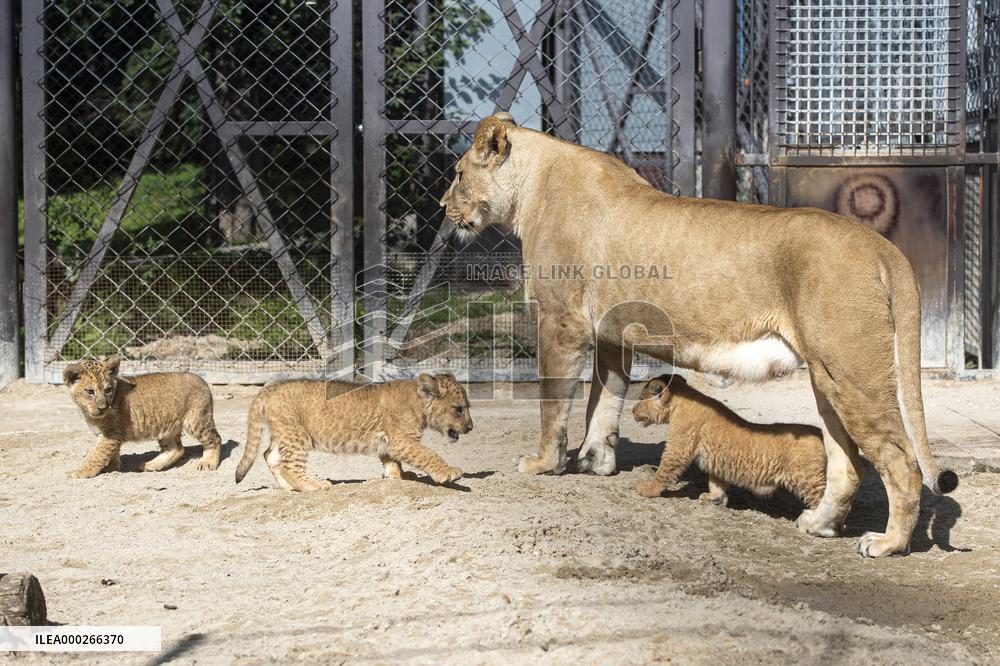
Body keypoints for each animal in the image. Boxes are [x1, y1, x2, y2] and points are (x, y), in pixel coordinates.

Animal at [63, 356, 222, 477]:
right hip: (167, 427)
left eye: (108, 390)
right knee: (176, 449)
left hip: (196, 421)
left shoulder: (110, 434)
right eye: (90, 391)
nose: (103, 408)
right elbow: (112, 453)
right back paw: (150, 465)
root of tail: (202, 379)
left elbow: (96, 455)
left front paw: (81, 472)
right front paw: (113, 467)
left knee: (215, 439)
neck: (88, 413)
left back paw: (207, 463)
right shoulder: (111, 436)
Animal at [234, 373, 473, 491]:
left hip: (283, 433)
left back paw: (287, 487)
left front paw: (397, 476)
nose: (470, 427)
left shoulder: (389, 441)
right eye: (458, 408)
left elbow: (391, 461)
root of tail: (268, 388)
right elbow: (427, 454)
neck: (418, 403)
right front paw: (447, 472)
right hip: (297, 436)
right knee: (289, 465)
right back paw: (313, 485)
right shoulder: (401, 440)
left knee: (269, 455)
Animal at [632, 375, 826, 509]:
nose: (632, 411)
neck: (679, 403)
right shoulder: (716, 460)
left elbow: (664, 471)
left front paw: (648, 489)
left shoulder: (678, 448)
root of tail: (819, 432)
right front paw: (714, 498)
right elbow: (716, 482)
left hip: (808, 479)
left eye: (640, 399)